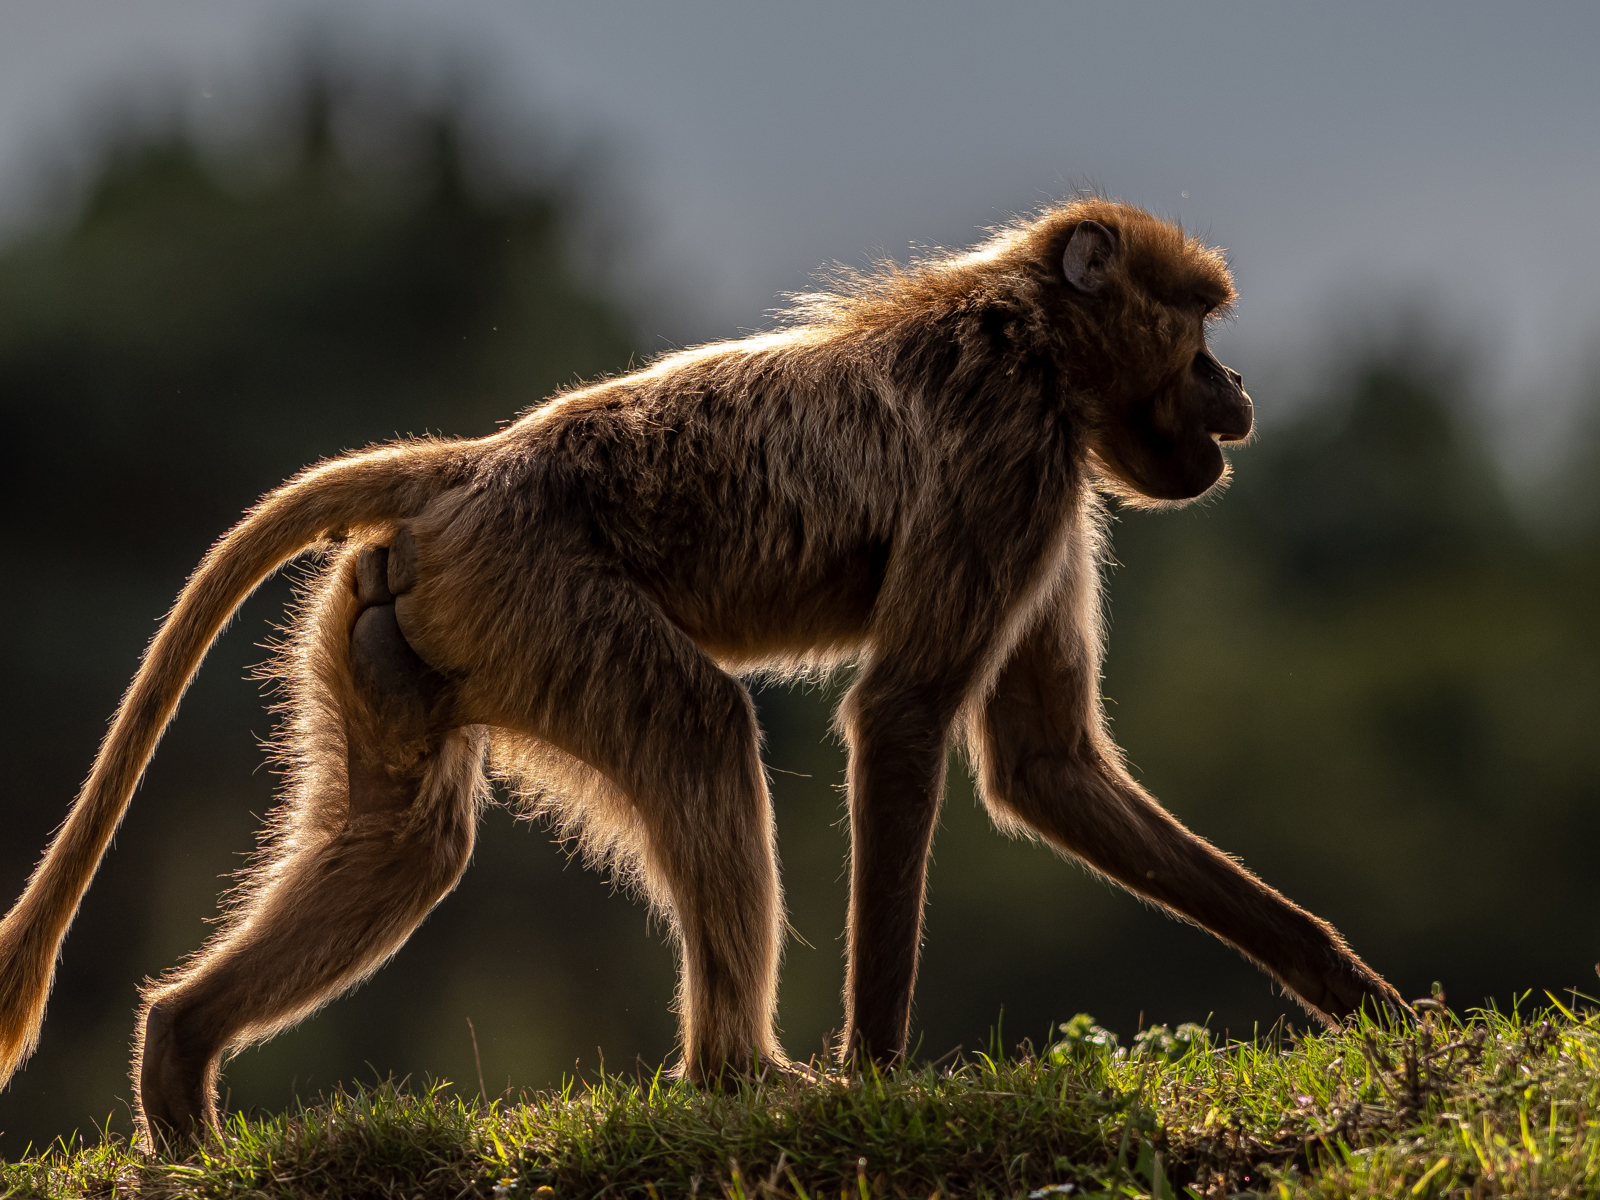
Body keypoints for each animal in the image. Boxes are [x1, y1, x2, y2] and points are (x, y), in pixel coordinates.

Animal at [0, 197, 1401, 1145]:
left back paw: (180, 1063)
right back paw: (742, 1074)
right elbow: (901, 719)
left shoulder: (1049, 497)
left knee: (405, 843)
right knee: (696, 727)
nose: (1237, 385)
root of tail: (467, 466)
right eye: (1198, 326)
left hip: (397, 622)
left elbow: (1043, 765)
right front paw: (878, 1076)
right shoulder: (1010, 460)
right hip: (539, 600)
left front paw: (1357, 997)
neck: (1030, 335)